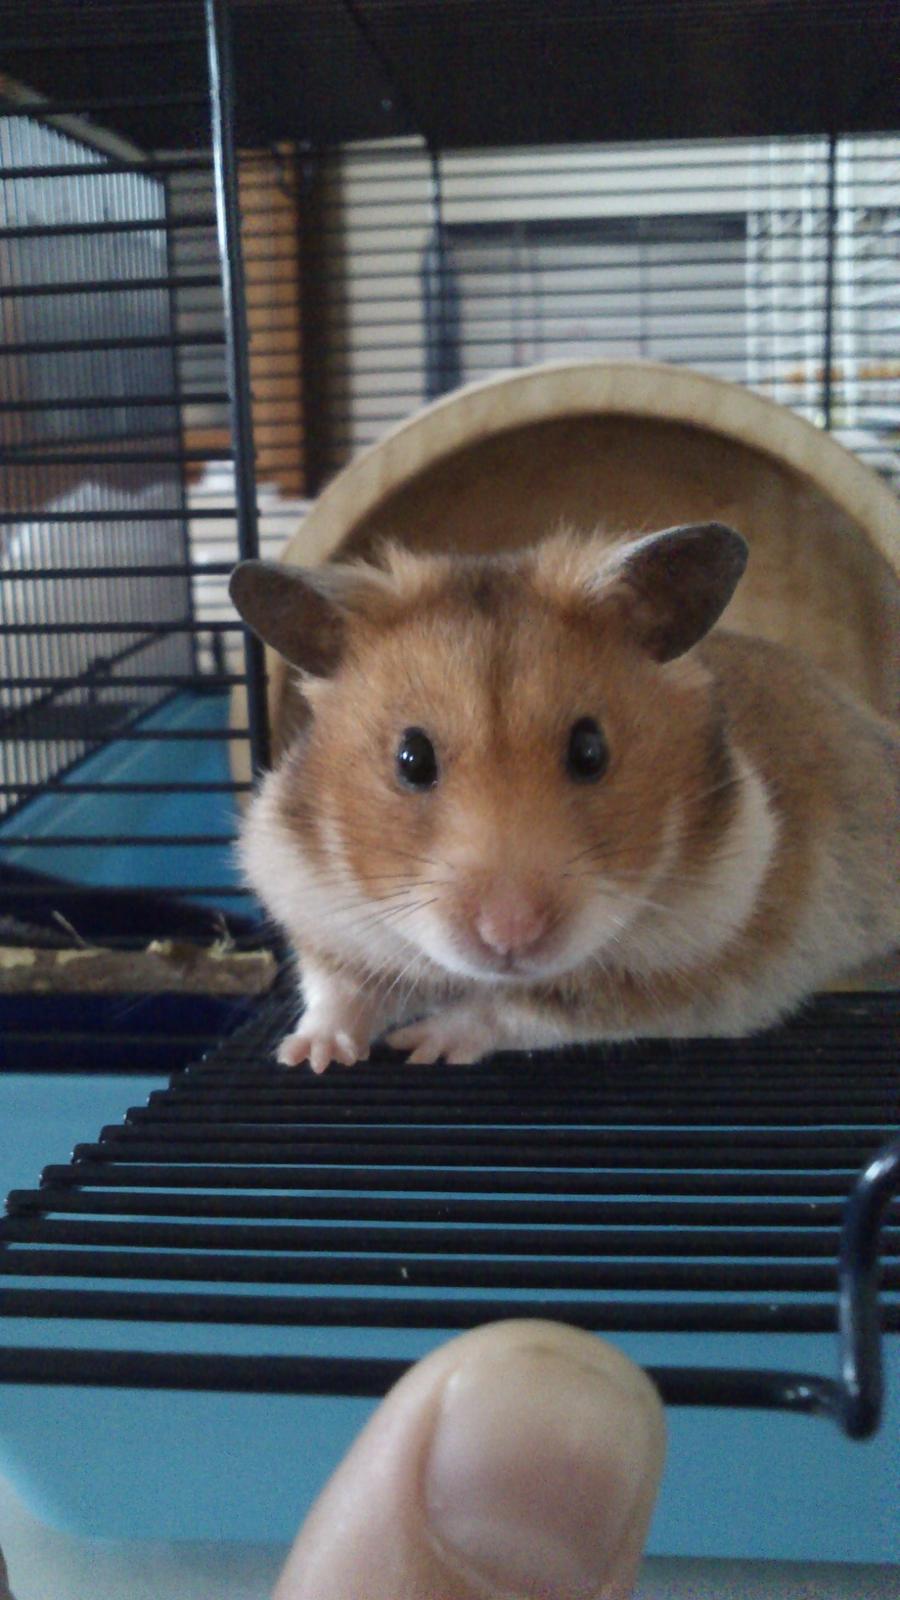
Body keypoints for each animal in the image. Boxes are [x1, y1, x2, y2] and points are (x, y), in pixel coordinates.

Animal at [230, 523, 899, 1070]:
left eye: (590, 750)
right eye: (411, 758)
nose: (510, 935)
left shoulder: (684, 975)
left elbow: (520, 1008)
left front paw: (420, 1045)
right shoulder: (316, 903)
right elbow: (338, 991)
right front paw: (309, 1057)